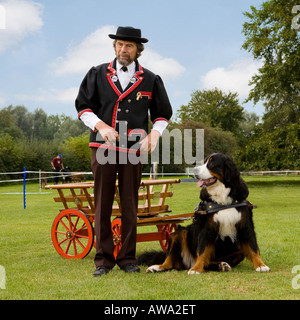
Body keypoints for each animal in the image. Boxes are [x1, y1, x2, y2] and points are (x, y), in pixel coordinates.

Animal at [138, 154, 270, 274]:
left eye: (211, 163)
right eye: (204, 161)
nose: (195, 170)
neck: (222, 201)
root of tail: (188, 262)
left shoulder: (245, 225)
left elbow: (254, 248)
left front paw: (261, 265)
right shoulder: (207, 228)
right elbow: (202, 251)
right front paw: (196, 269)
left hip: (238, 252)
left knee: (207, 263)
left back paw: (221, 265)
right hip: (180, 233)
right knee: (170, 261)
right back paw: (158, 267)